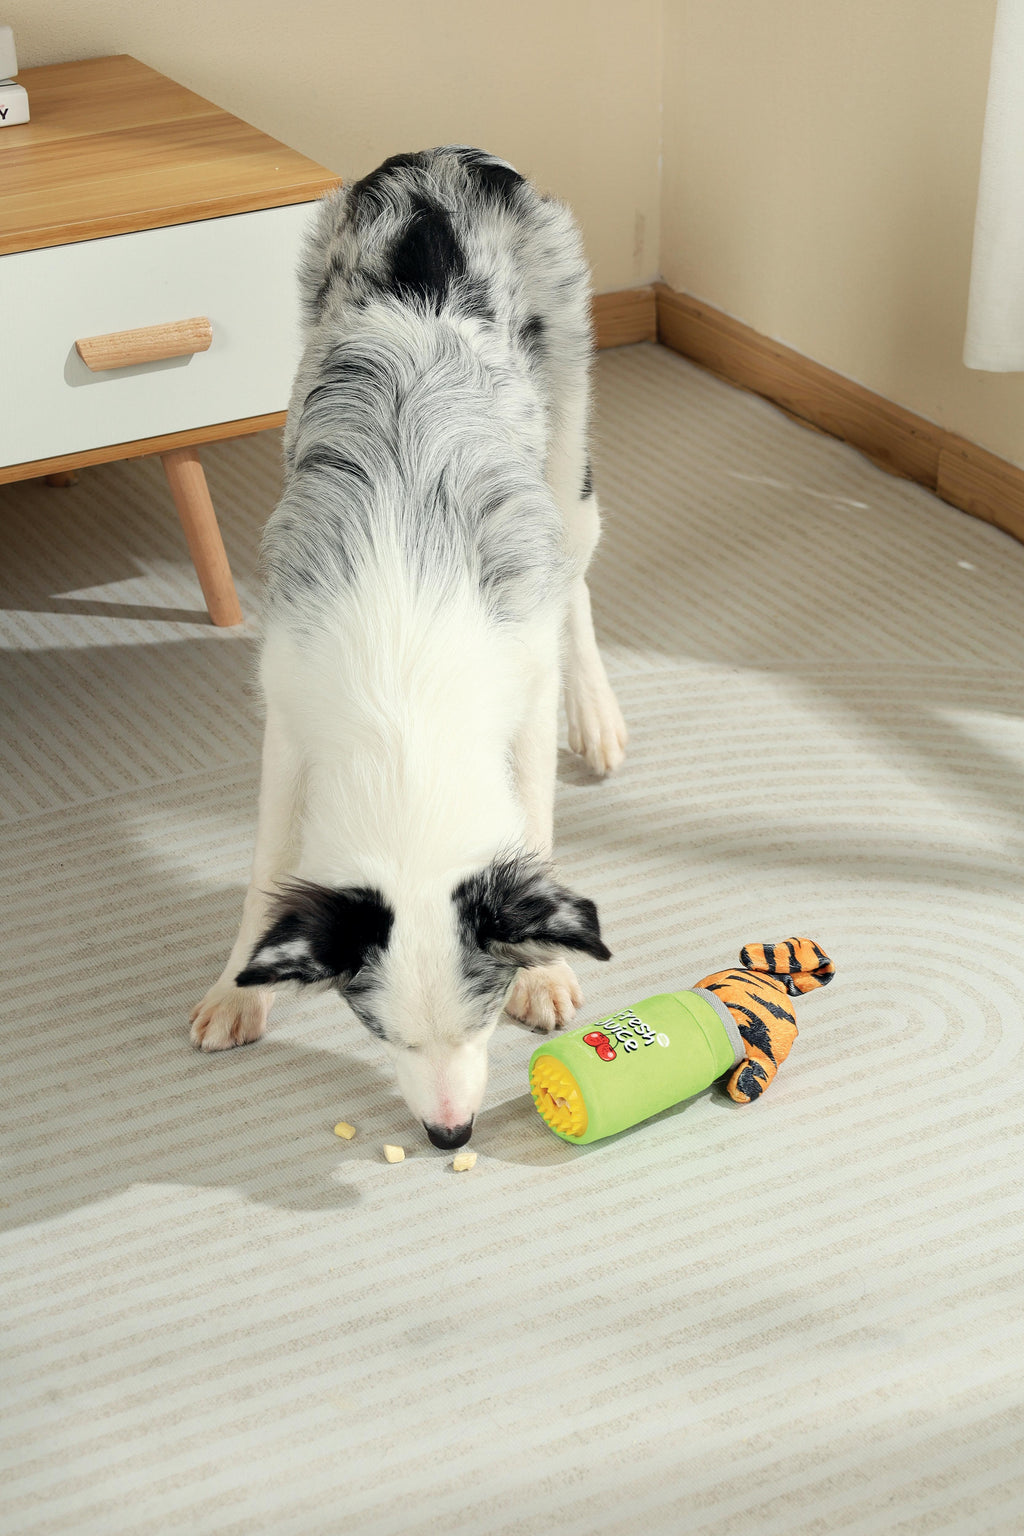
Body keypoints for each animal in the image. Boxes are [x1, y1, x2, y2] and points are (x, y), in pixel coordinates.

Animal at [188, 146, 629, 1155]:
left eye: (487, 1010)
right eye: (376, 1030)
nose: (450, 1137)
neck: (406, 707)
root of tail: (446, 158)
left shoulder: (520, 681)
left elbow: (535, 819)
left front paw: (547, 969)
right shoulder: (290, 707)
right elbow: (266, 863)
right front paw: (235, 986)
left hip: (567, 431)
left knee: (576, 569)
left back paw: (598, 715)